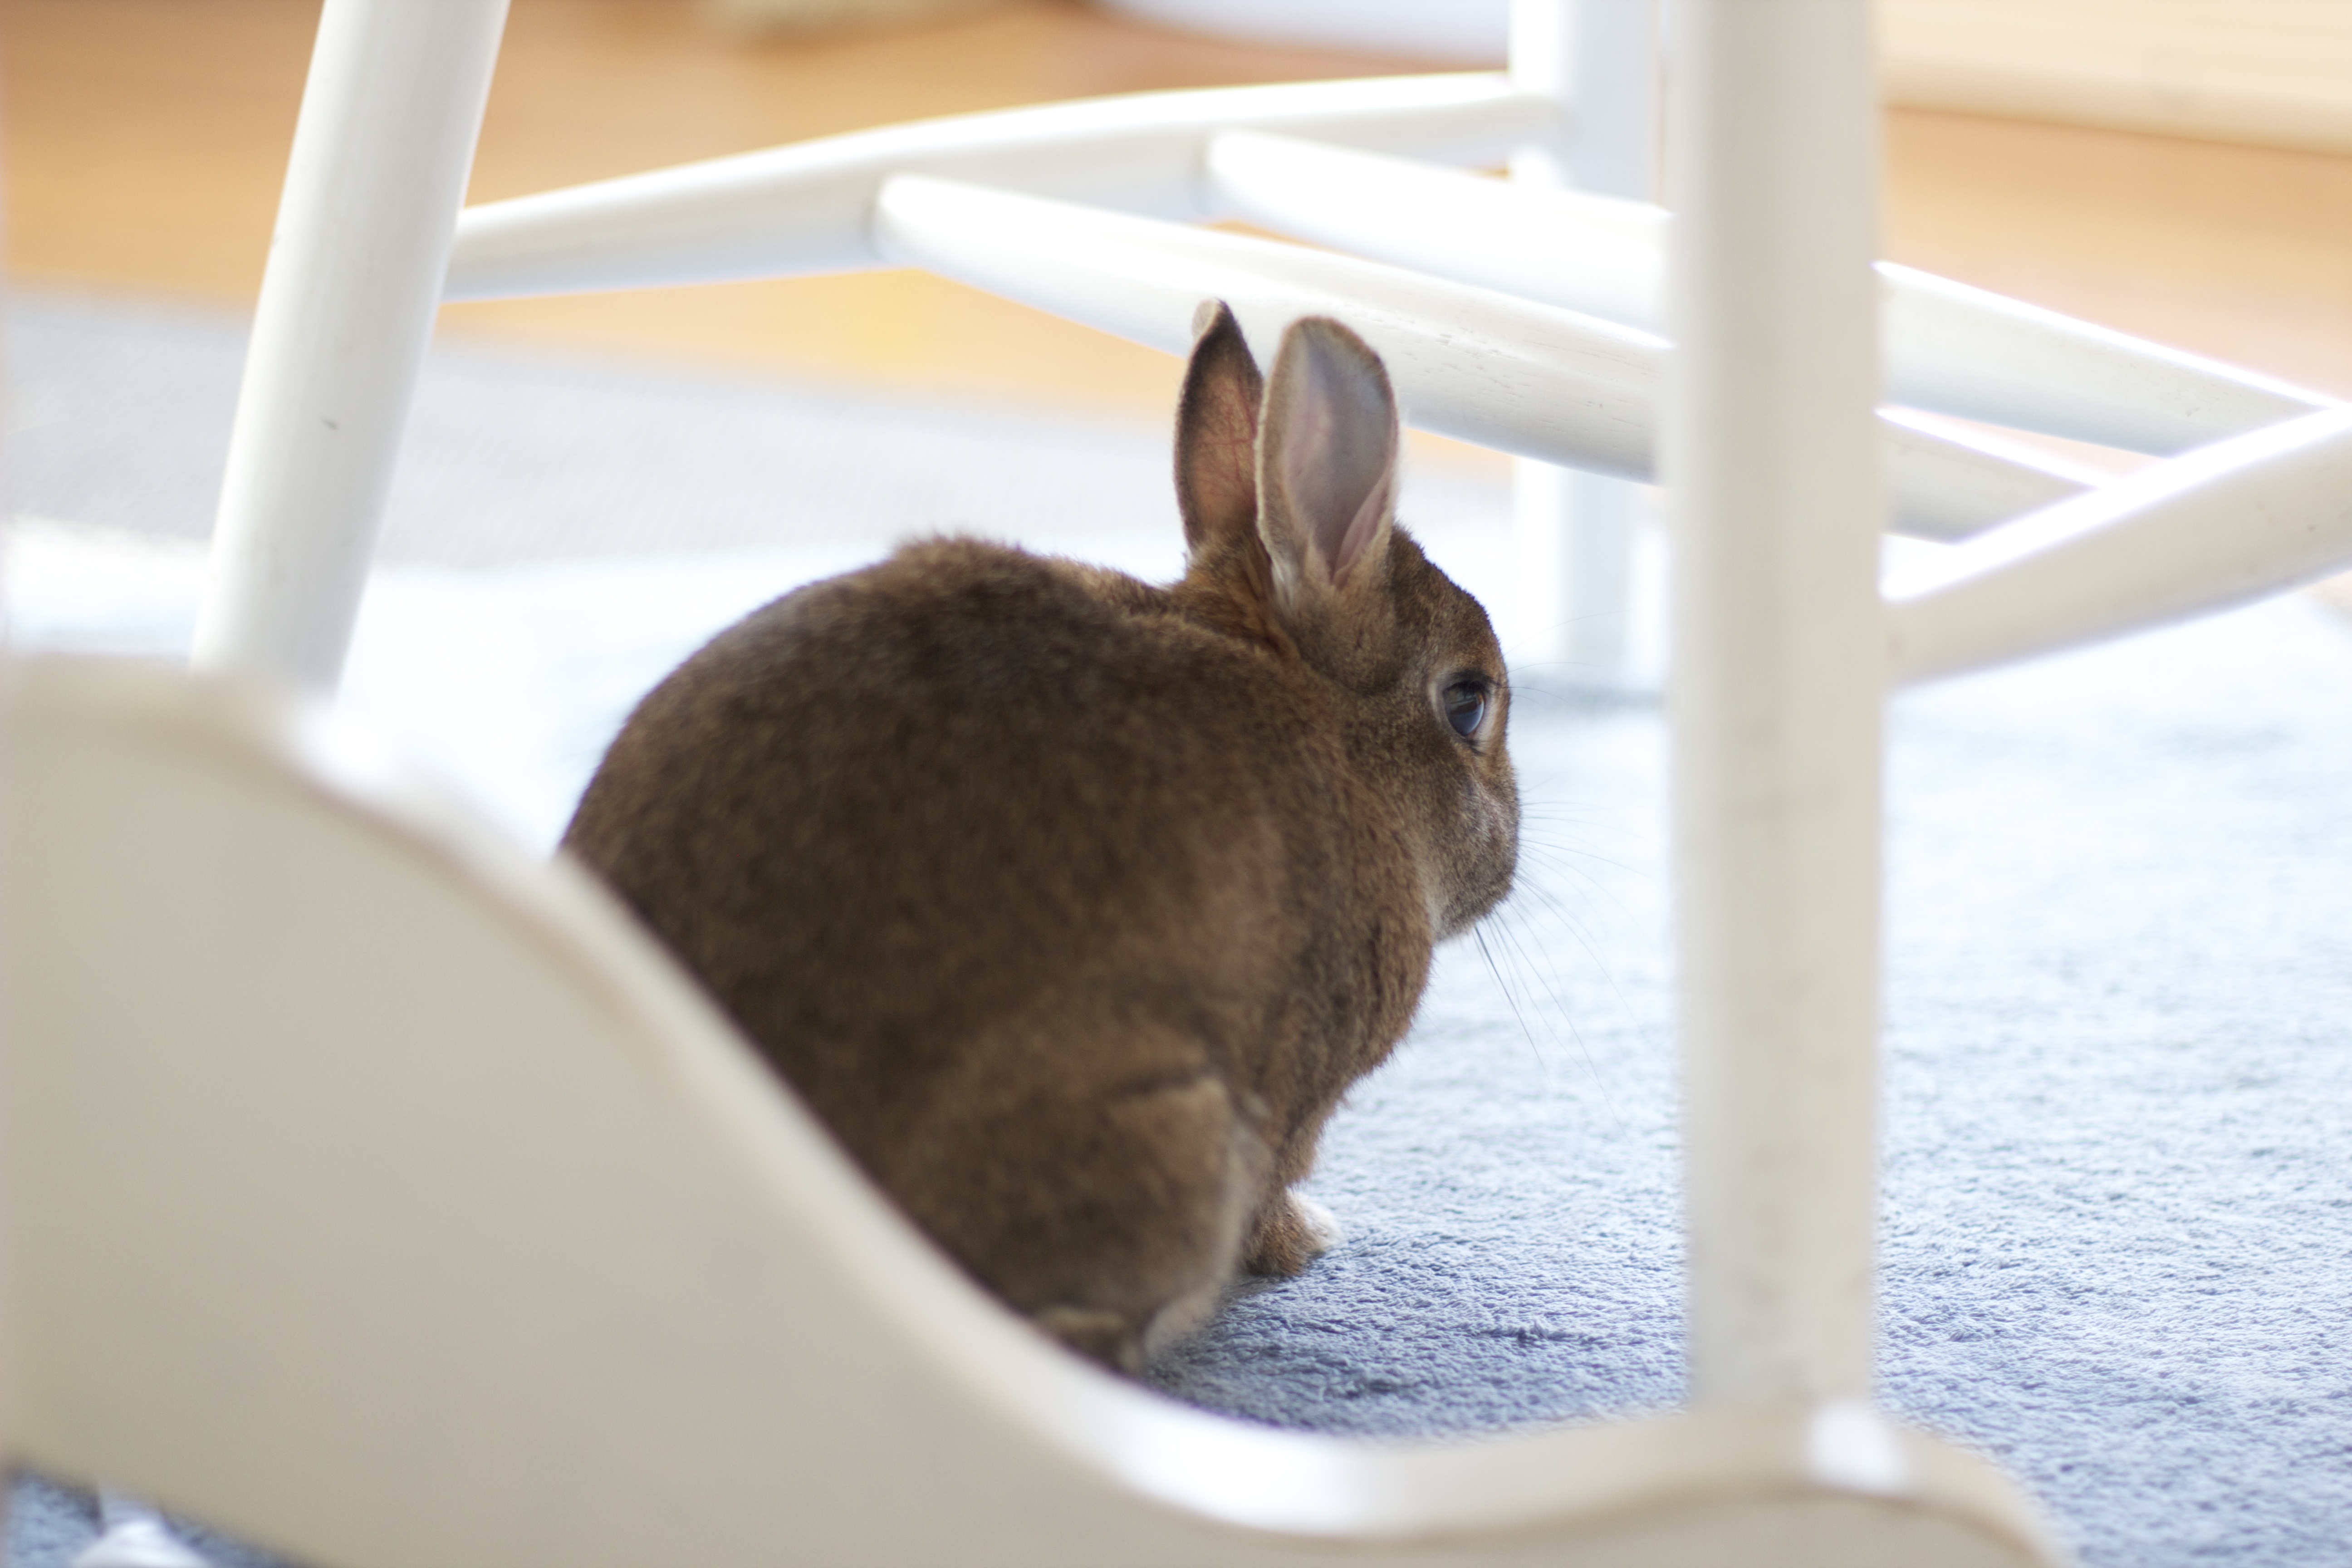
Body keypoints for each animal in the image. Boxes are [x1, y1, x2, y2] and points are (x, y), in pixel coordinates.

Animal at [561, 304, 1519, 1372]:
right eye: (1468, 702)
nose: (1511, 862)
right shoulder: (1295, 1088)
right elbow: (1276, 1183)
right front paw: (1307, 1241)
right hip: (1169, 1143)